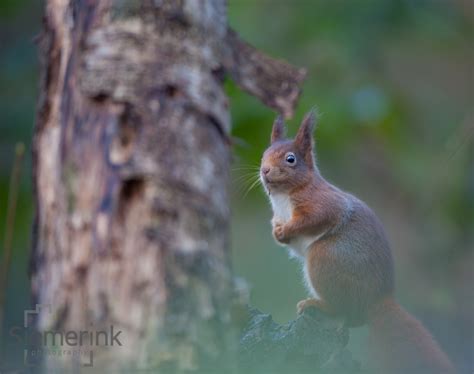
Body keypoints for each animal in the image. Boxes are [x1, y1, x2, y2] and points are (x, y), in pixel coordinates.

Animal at [260, 111, 456, 374]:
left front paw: (286, 231)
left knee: (344, 309)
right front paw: (277, 231)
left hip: (326, 257)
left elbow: (317, 218)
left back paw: (318, 304)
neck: (284, 195)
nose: (264, 170)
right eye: (264, 154)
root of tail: (378, 299)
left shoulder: (323, 203)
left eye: (290, 159)